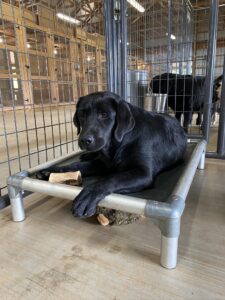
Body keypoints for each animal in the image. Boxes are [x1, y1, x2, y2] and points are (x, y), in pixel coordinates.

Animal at [39, 91, 187, 218]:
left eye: (104, 115)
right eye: (82, 115)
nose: (85, 140)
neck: (117, 144)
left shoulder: (144, 172)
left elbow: (111, 178)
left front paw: (87, 196)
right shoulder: (102, 164)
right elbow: (76, 165)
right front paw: (52, 170)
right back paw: (86, 155)